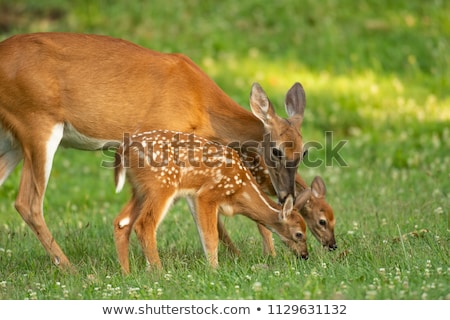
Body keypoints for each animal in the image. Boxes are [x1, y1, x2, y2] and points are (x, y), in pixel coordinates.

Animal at [113, 130, 310, 272]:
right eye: (299, 234)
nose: (305, 255)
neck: (241, 189)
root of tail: (124, 150)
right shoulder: (207, 194)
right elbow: (211, 236)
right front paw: (214, 270)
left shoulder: (195, 197)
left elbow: (203, 233)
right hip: (161, 185)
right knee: (144, 224)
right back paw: (159, 273)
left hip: (139, 190)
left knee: (121, 222)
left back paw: (127, 273)